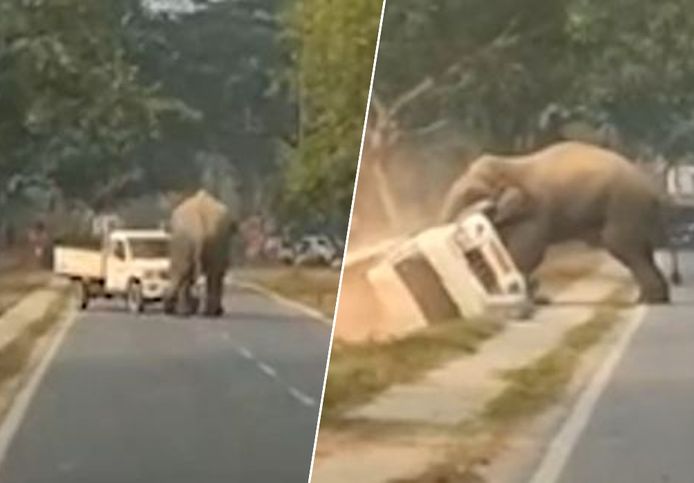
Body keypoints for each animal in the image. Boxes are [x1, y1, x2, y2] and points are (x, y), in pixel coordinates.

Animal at [164, 189, 237, 318]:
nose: (166, 308)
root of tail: (199, 223)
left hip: (189, 238)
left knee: (185, 271)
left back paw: (184, 312)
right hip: (206, 238)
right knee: (212, 273)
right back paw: (208, 313)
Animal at [440, 142, 680, 304]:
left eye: (471, 194)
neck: (512, 163)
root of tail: (654, 192)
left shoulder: (534, 212)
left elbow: (525, 252)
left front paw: (532, 301)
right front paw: (534, 300)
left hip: (624, 208)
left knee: (624, 248)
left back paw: (648, 300)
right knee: (641, 252)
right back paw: (654, 298)